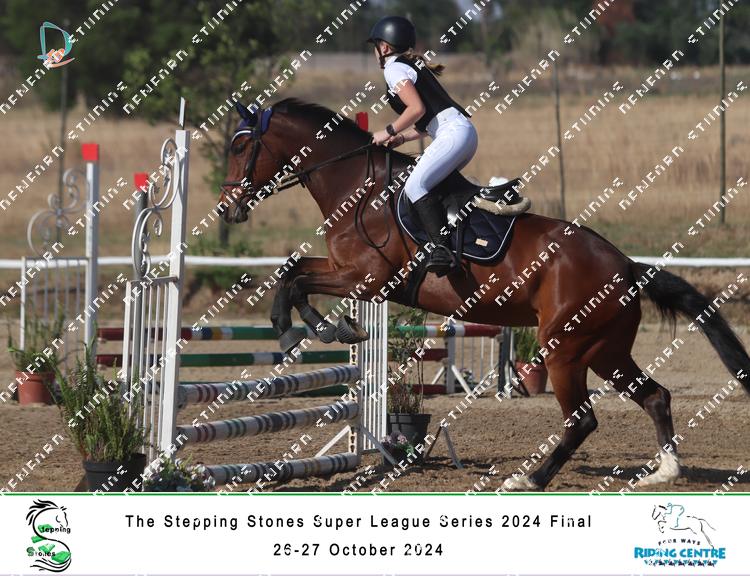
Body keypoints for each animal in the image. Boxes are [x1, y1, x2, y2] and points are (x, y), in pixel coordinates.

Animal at [219, 98, 750, 491]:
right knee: (655, 396)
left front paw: (302, 330)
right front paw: (328, 327)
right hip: (606, 350)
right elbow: (293, 270)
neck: (358, 187)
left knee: (583, 421)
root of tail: (626, 266)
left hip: (565, 350)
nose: (227, 210)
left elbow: (297, 280)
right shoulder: (345, 270)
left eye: (242, 145)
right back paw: (663, 472)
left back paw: (531, 479)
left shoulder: (366, 277)